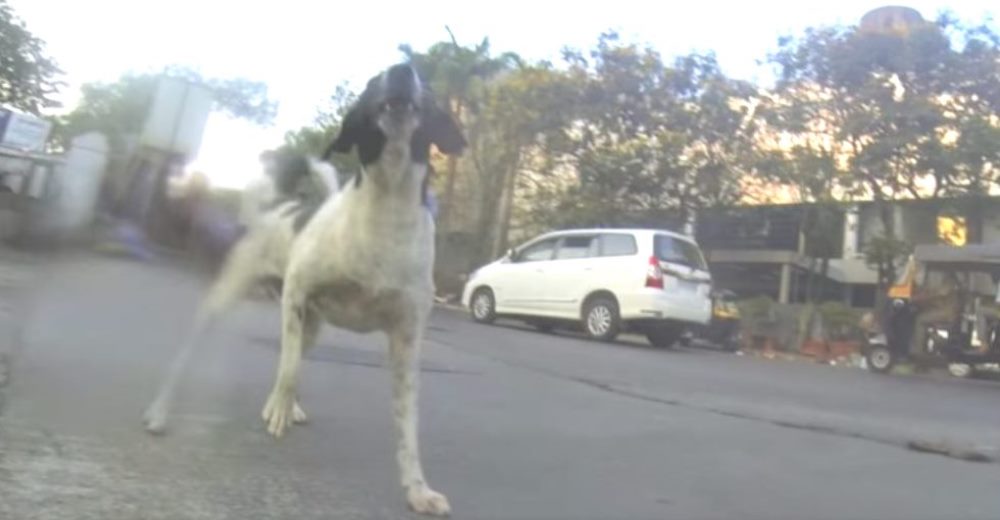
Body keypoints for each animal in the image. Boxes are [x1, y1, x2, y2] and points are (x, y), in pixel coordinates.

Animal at [143, 63, 466, 512]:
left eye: (426, 84)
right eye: (374, 81)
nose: (402, 70)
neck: (386, 207)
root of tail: (279, 207)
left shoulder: (406, 339)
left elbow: (408, 428)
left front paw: (417, 489)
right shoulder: (297, 291)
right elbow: (290, 368)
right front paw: (279, 408)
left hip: (311, 323)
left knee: (293, 352)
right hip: (234, 299)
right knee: (204, 355)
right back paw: (162, 413)